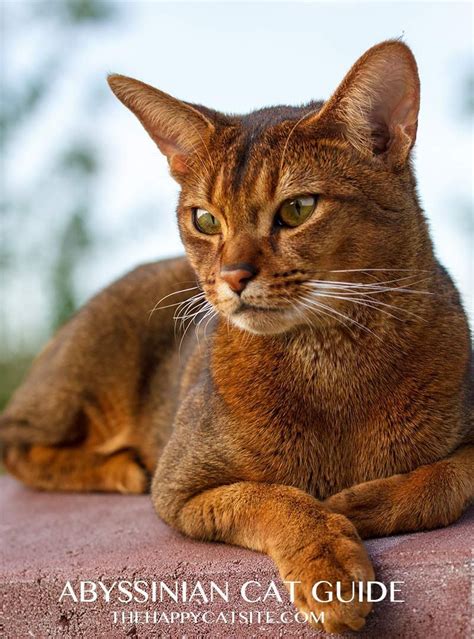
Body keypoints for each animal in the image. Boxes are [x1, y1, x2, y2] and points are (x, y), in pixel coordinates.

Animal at [1, 41, 472, 636]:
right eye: (204, 219)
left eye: (298, 208)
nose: (232, 276)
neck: (330, 361)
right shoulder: (182, 488)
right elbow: (275, 499)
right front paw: (331, 567)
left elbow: (447, 478)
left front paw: (359, 504)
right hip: (82, 380)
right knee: (15, 442)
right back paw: (121, 467)